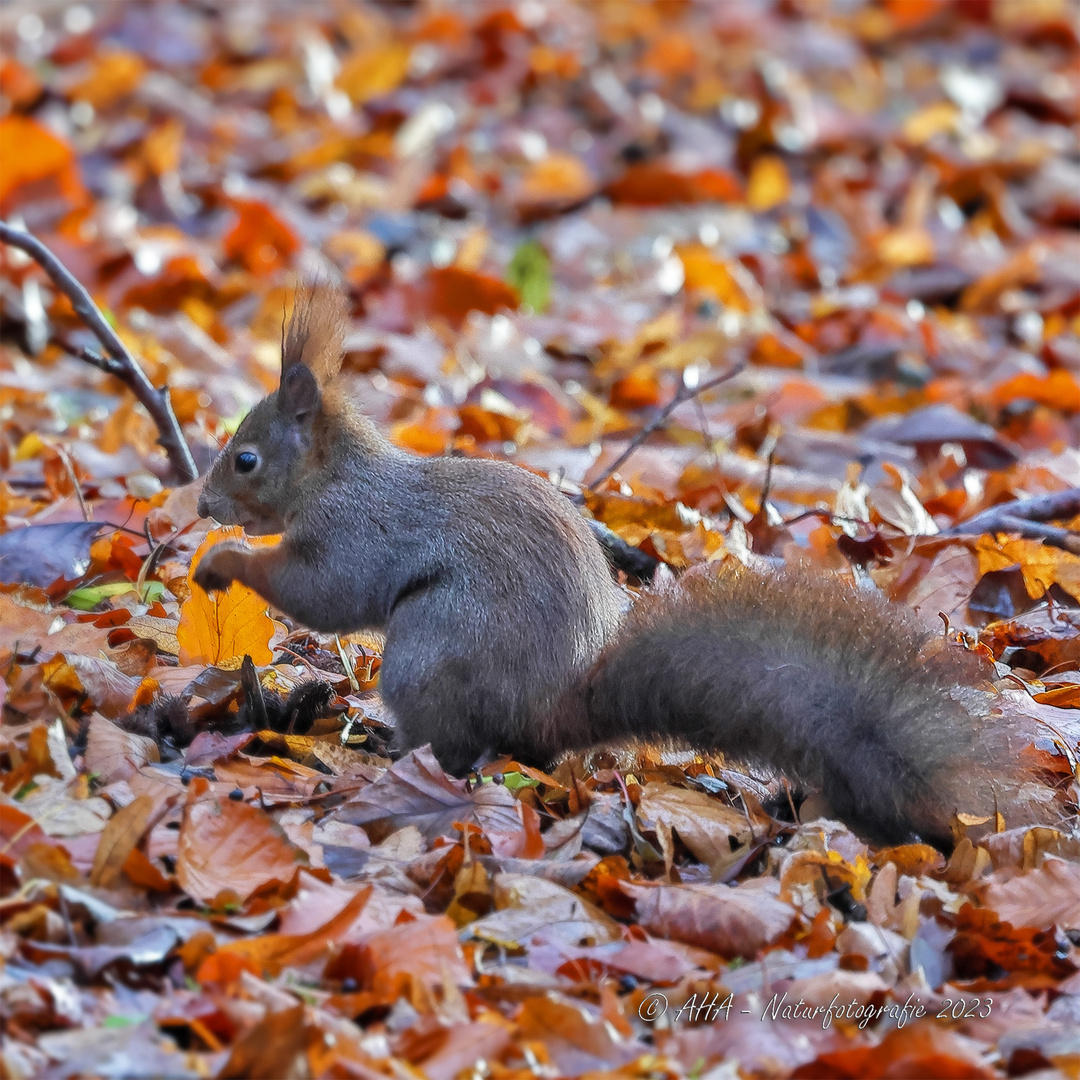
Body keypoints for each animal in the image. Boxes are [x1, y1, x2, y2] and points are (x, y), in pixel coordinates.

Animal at [194, 291, 1028, 846]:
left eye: (246, 459)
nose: (202, 503)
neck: (336, 477)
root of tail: (547, 711)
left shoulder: (356, 532)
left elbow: (323, 593)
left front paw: (224, 561)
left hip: (430, 652)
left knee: (458, 746)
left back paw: (389, 752)